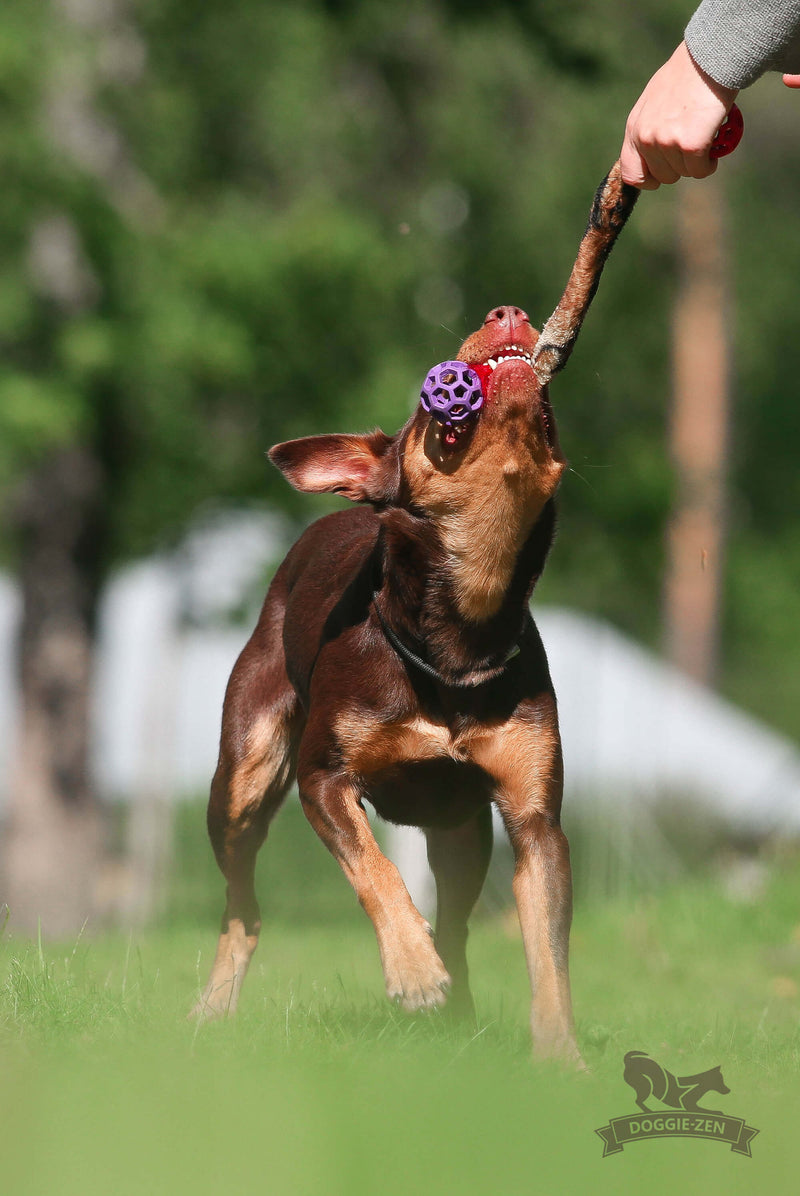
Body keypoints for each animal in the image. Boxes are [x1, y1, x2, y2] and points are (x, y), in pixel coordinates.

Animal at [193, 163, 636, 1062]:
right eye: (428, 411)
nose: (506, 310)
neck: (465, 612)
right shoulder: (325, 778)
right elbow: (374, 870)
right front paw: (409, 970)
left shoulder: (533, 816)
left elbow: (548, 949)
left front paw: (561, 1060)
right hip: (244, 775)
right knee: (242, 903)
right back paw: (215, 1008)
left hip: (462, 831)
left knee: (461, 921)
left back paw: (459, 1014)